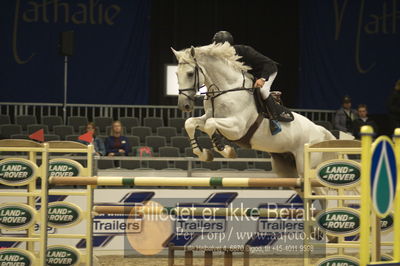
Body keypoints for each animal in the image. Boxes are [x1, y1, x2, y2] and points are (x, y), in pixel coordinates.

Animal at [170, 42, 336, 178]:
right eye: (176, 74)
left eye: (190, 74)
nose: (184, 106)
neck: (226, 89)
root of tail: (320, 131)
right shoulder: (211, 115)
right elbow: (191, 123)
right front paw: (204, 154)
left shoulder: (237, 127)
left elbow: (210, 124)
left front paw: (227, 151)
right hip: (286, 167)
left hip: (305, 167)